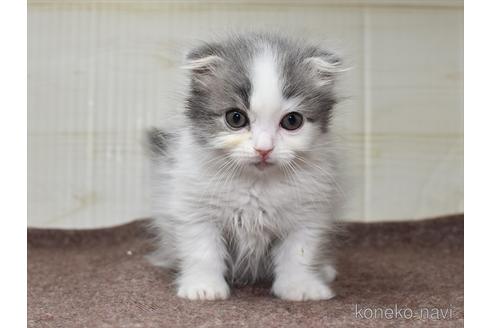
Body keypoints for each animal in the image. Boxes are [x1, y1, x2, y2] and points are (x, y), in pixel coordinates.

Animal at [148, 33, 344, 302]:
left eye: (292, 121)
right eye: (235, 118)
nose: (264, 149)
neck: (255, 184)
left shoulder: (308, 213)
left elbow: (299, 253)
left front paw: (301, 286)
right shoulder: (195, 208)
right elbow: (202, 251)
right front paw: (204, 287)